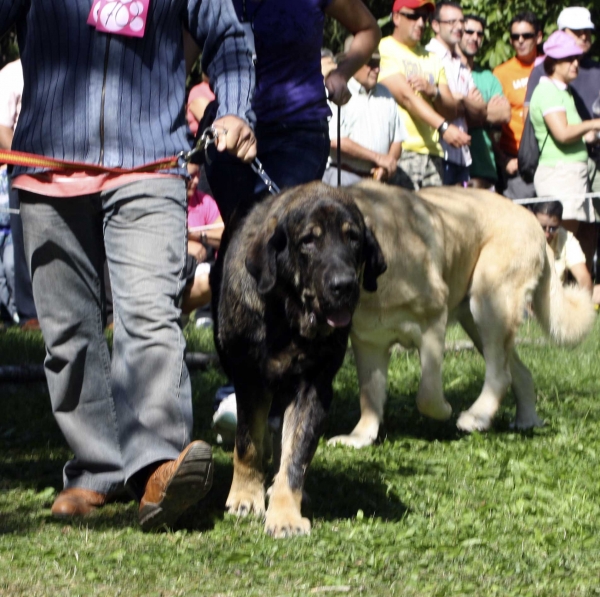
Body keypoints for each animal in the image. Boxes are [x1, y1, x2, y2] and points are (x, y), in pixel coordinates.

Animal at [213, 180, 386, 536]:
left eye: (353, 238)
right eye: (308, 240)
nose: (344, 285)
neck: (287, 316)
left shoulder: (314, 386)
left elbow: (296, 454)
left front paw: (285, 513)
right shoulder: (249, 378)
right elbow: (247, 442)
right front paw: (245, 496)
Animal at [328, 182, 596, 448]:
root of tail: (532, 221)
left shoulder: (433, 322)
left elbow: (427, 393)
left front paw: (444, 410)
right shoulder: (368, 342)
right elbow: (369, 396)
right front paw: (359, 437)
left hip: (490, 302)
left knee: (500, 374)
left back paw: (475, 417)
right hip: (476, 323)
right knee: (518, 372)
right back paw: (526, 420)